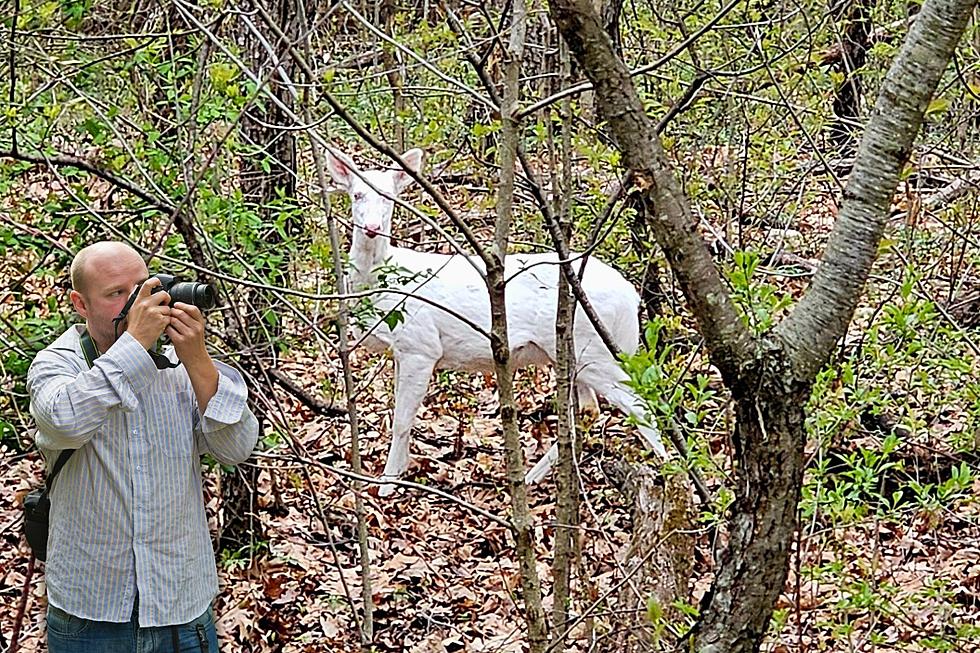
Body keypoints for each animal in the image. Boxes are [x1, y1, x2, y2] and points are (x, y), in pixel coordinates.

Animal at [328, 146, 668, 494]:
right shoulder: (402, 351)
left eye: (388, 197)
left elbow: (401, 421)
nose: (371, 227)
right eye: (356, 194)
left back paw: (669, 471)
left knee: (639, 404)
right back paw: (531, 477)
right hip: (572, 352)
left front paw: (387, 484)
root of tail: (631, 296)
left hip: (597, 348)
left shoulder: (421, 345)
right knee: (588, 410)